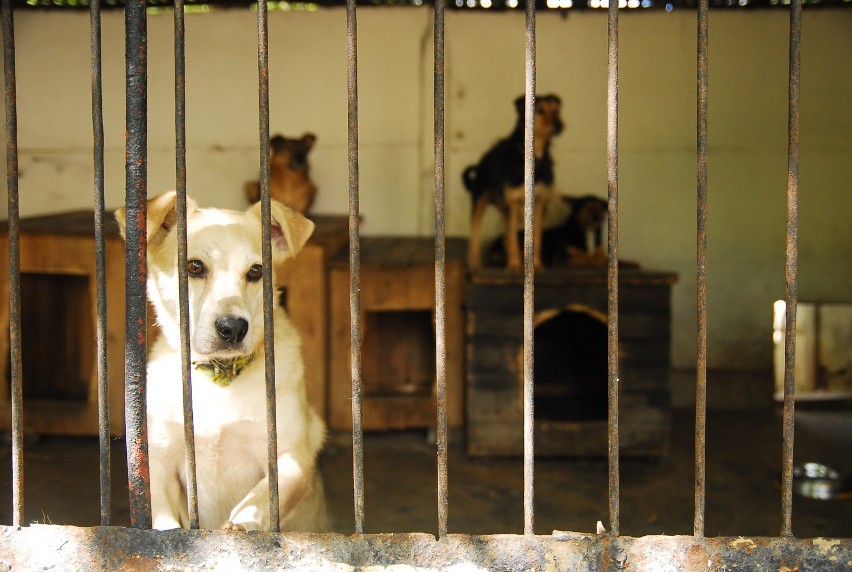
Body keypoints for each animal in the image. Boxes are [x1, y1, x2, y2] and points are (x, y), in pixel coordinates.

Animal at [113, 192, 326, 532]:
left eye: (256, 271)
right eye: (194, 266)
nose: (233, 328)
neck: (219, 378)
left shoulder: (292, 457)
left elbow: (260, 501)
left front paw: (242, 524)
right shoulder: (158, 462)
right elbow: (163, 519)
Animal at [462, 94, 564, 272]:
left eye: (556, 111)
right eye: (540, 110)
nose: (559, 125)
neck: (535, 157)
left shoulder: (540, 204)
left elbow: (537, 238)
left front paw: (536, 265)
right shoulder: (513, 203)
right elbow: (512, 238)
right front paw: (515, 265)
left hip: (504, 207)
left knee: (507, 234)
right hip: (481, 200)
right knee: (475, 232)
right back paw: (475, 263)